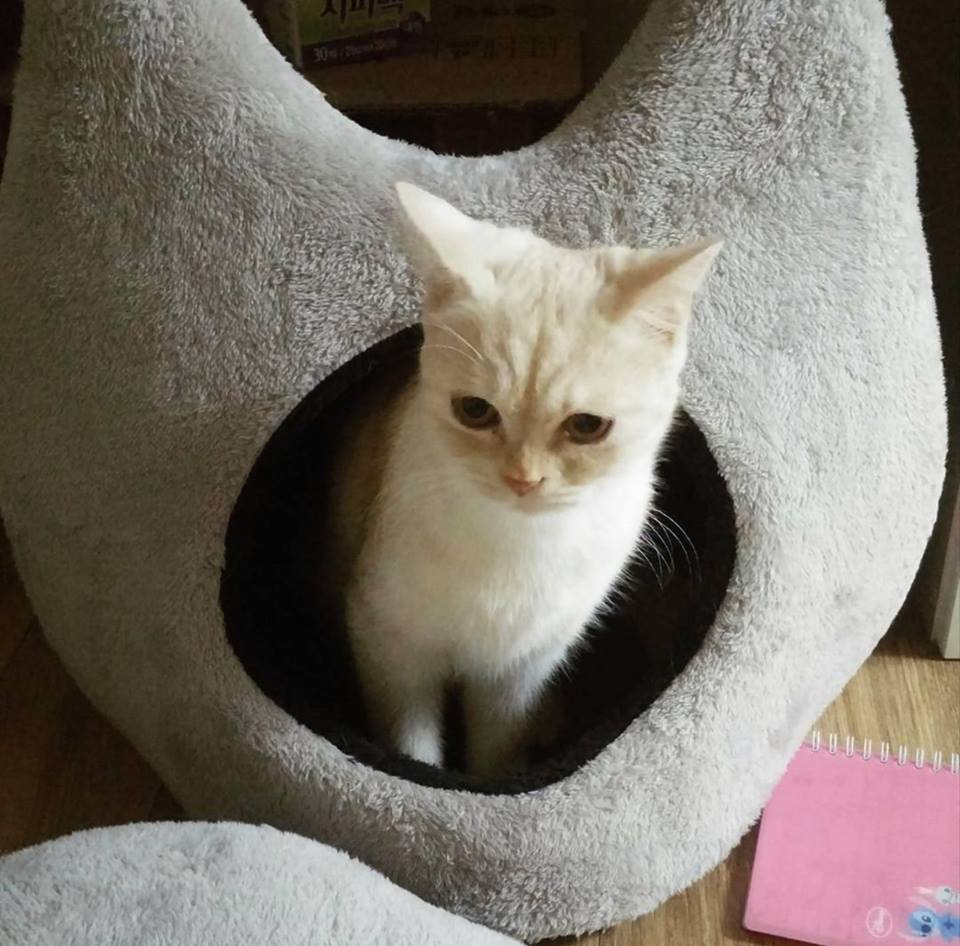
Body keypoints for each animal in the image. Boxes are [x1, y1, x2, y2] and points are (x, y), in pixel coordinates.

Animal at [322, 183, 721, 778]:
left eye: (586, 426)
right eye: (474, 411)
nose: (523, 479)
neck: (521, 543)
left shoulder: (521, 673)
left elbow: (498, 747)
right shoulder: (390, 645)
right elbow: (410, 746)